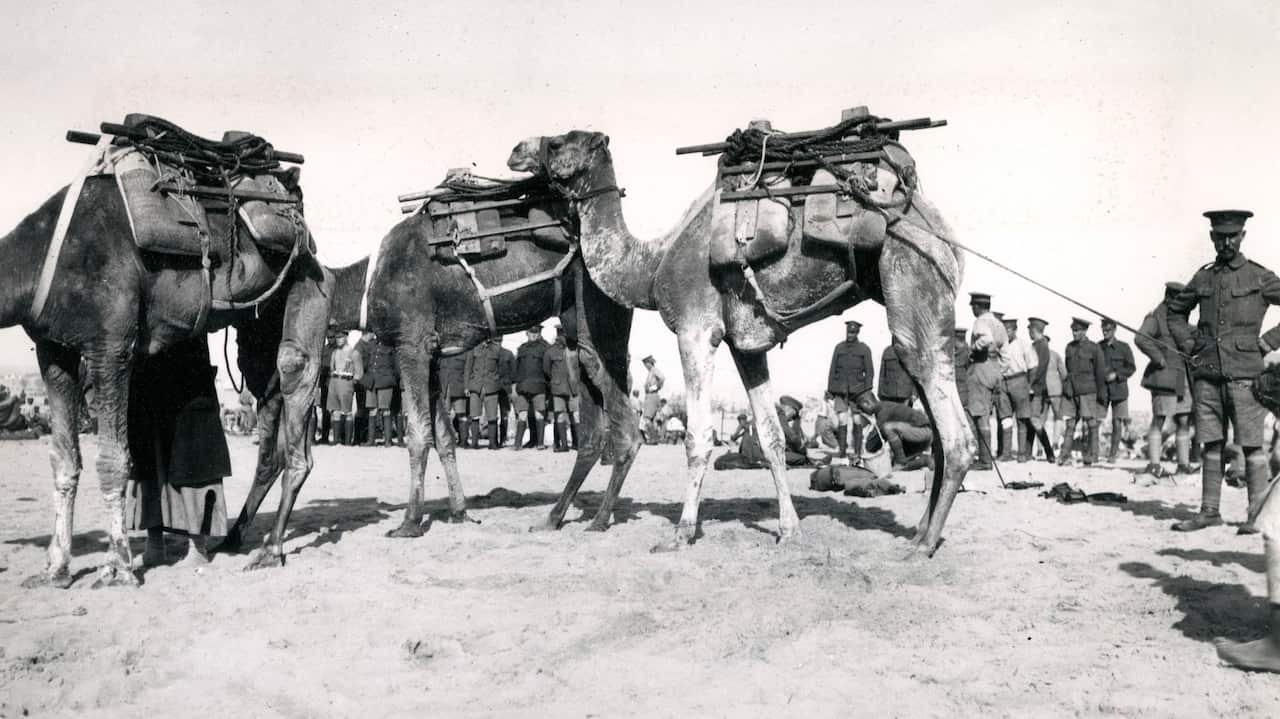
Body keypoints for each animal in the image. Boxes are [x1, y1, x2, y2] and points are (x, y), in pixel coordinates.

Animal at [2, 155, 330, 583]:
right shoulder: (53, 349)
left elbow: (112, 459)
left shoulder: (111, 344)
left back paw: (270, 549)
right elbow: (63, 459)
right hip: (260, 326)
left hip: (310, 284)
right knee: (269, 416)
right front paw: (56, 568)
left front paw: (118, 565)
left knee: (294, 372)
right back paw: (232, 539)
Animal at [330, 181, 645, 534]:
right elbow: (444, 436)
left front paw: (409, 523)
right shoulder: (434, 353)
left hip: (600, 324)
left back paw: (600, 519)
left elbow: (418, 433)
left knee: (627, 431)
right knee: (591, 435)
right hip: (576, 334)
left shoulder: (411, 342)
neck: (370, 284)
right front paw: (459, 512)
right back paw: (554, 517)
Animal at [504, 128, 972, 555]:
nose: (516, 150)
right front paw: (789, 530)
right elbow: (771, 437)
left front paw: (680, 533)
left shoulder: (695, 330)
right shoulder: (747, 345)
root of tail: (933, 219)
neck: (652, 264)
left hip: (913, 271)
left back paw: (923, 544)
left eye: (558, 142)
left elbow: (698, 437)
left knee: (953, 429)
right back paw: (921, 531)